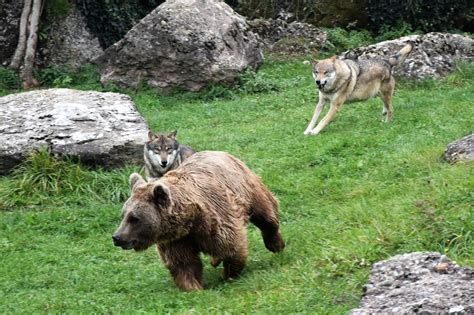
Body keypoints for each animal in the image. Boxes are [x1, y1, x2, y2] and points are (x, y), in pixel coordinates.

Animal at [111, 151, 286, 292]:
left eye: (134, 218)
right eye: (123, 215)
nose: (117, 237)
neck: (189, 221)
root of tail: (219, 152)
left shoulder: (215, 218)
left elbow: (232, 247)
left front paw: (226, 274)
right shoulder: (176, 239)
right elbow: (183, 263)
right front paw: (193, 287)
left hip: (247, 186)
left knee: (266, 215)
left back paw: (276, 244)